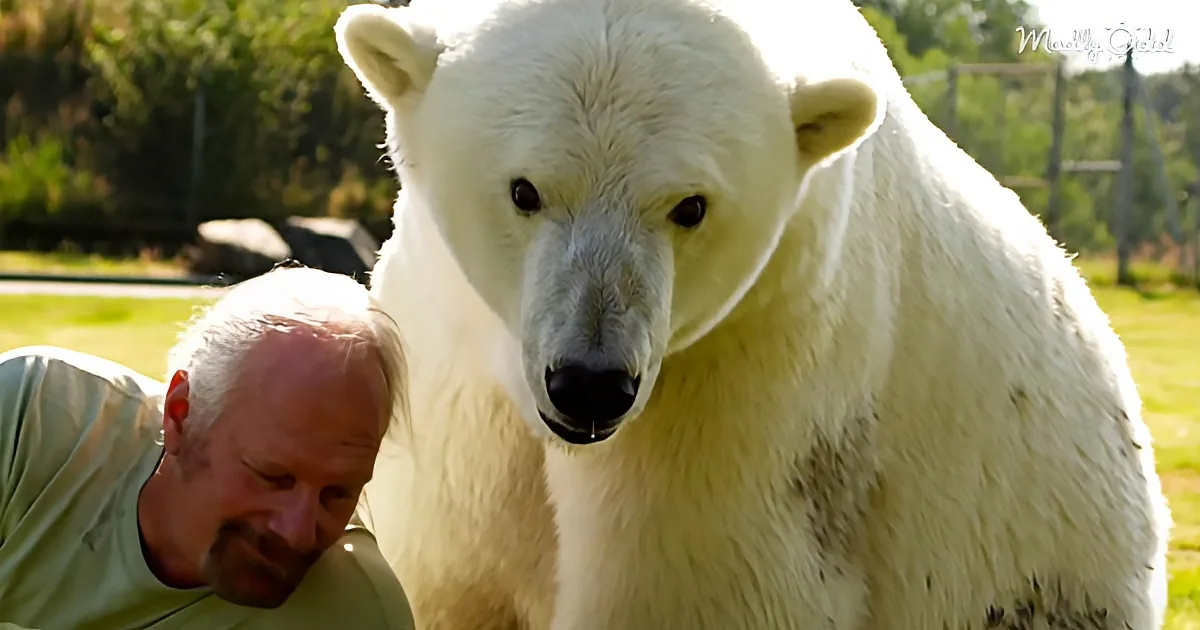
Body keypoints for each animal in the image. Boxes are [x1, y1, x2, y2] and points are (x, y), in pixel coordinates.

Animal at [335, 0, 1172, 628]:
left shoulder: (753, 383)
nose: (590, 382)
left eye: (691, 206)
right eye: (523, 190)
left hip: (1043, 581)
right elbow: (450, 571)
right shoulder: (450, 372)